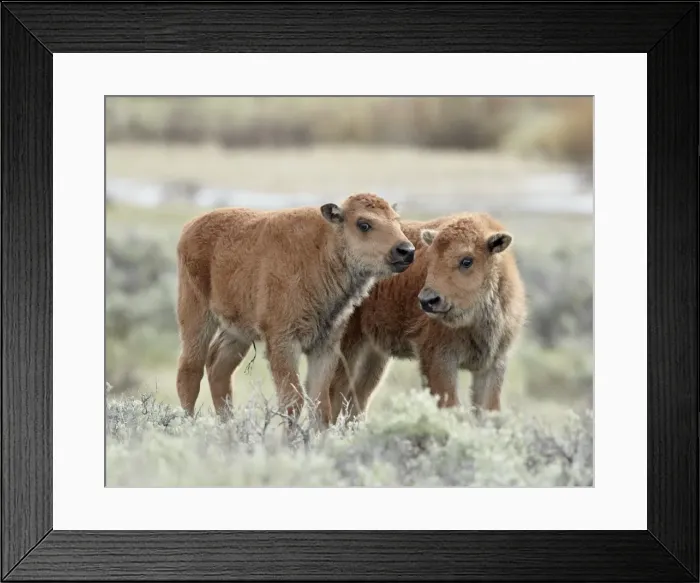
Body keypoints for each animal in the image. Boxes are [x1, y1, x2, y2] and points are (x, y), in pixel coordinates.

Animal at [175, 193, 415, 428]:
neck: (324, 249)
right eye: (364, 224)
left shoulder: (325, 346)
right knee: (189, 370)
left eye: (396, 220)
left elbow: (321, 405)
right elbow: (293, 401)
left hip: (238, 331)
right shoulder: (284, 343)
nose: (406, 250)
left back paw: (228, 428)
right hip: (197, 313)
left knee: (218, 368)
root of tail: (190, 227)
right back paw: (189, 426)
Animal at [328, 212, 527, 422]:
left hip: (375, 354)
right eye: (430, 258)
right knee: (334, 392)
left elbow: (488, 409)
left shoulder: (493, 364)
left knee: (357, 397)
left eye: (467, 260)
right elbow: (449, 405)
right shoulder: (439, 358)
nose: (428, 300)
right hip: (347, 344)